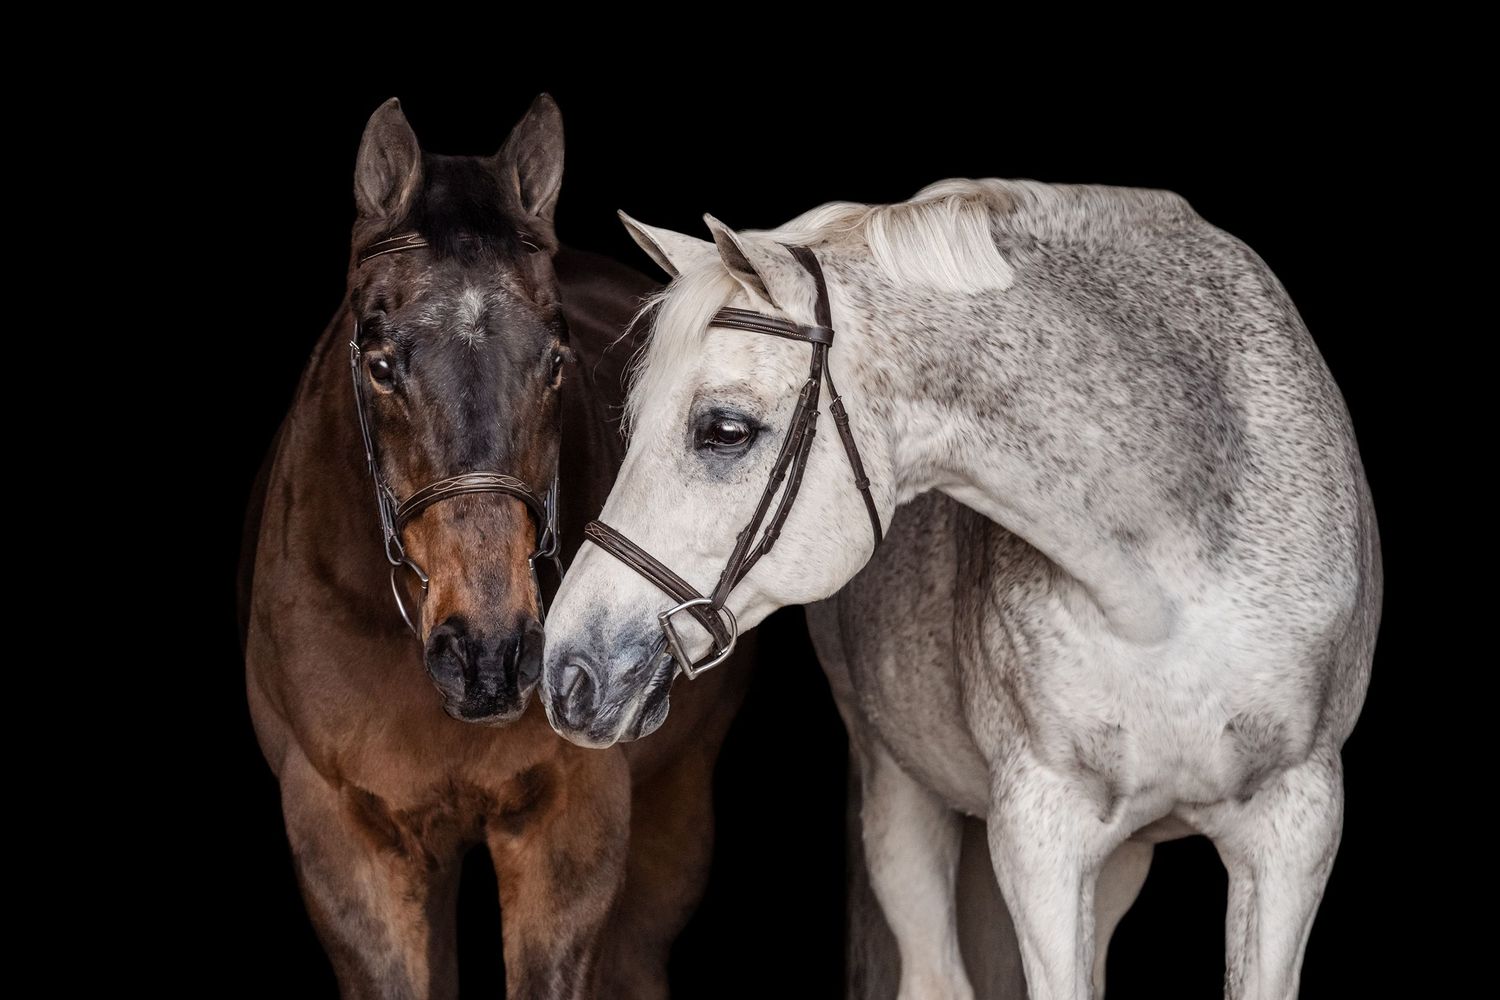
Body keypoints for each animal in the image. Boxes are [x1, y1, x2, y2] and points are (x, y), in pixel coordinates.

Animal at [539, 179, 1381, 1000]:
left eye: (725, 430)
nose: (567, 670)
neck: (1169, 584)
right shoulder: (1041, 833)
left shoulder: (1293, 827)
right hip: (900, 792)